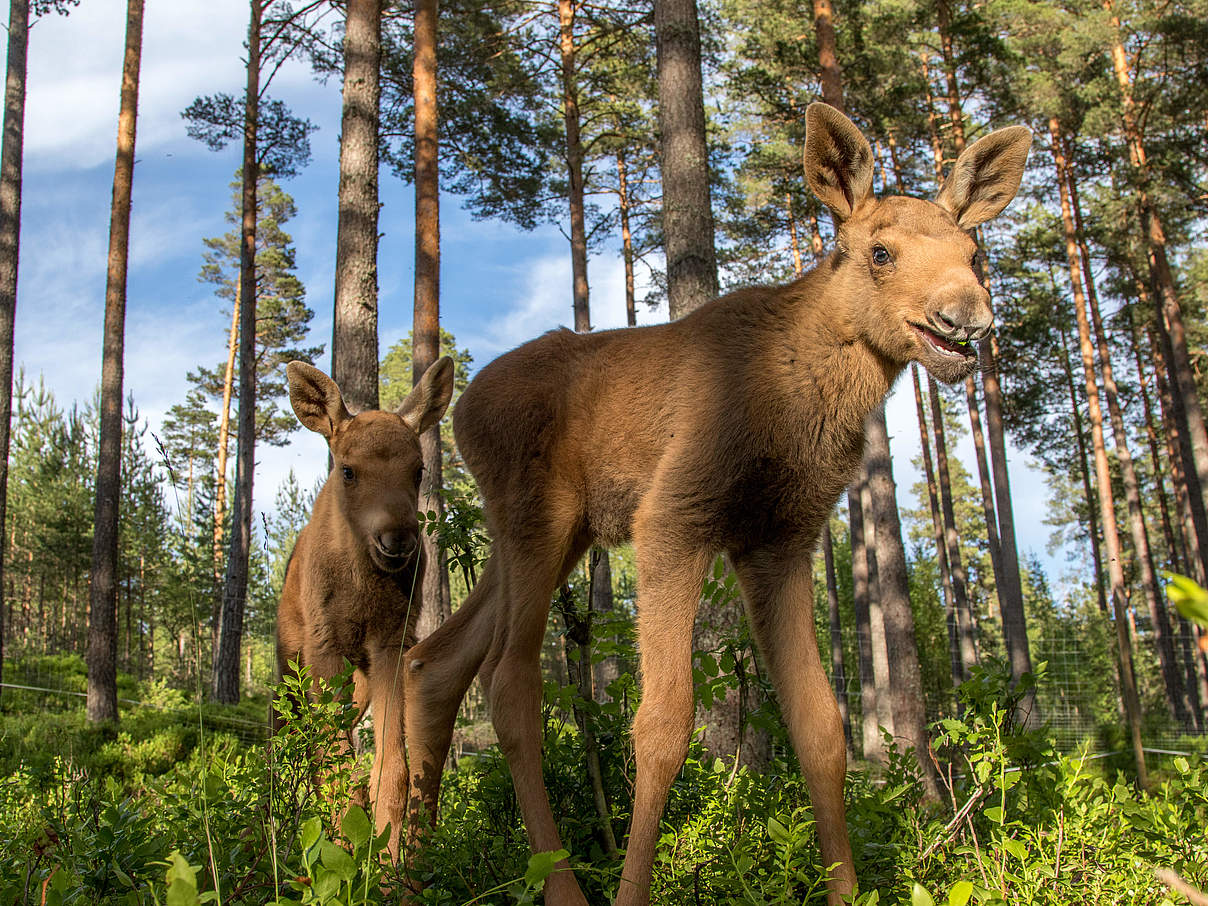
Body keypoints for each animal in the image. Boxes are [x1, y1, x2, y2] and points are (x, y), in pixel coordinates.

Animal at [274, 355, 454, 860]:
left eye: (418, 470)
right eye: (348, 470)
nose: (398, 540)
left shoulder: (391, 641)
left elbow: (391, 768)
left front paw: (388, 858)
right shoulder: (324, 645)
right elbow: (335, 766)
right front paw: (338, 853)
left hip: (357, 684)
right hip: (288, 666)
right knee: (285, 740)